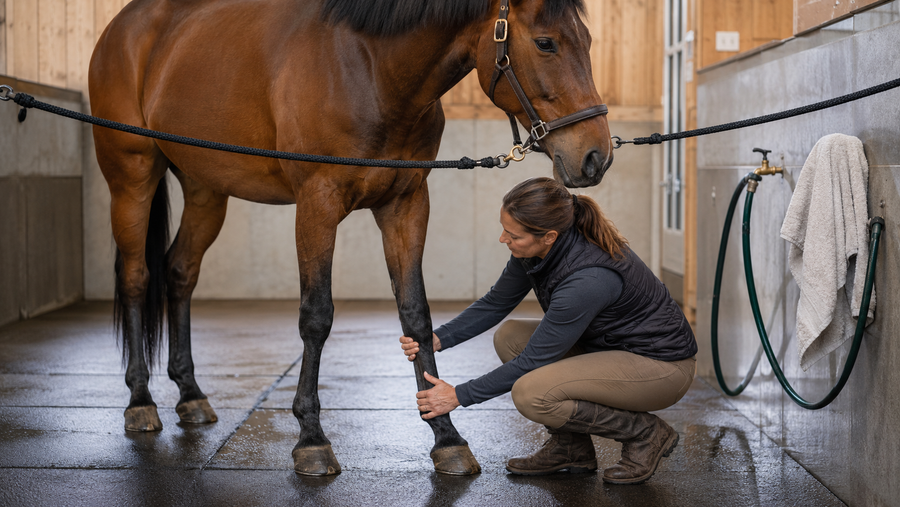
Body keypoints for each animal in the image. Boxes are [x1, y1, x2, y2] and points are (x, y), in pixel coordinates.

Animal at [88, 0, 613, 475]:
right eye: (545, 43)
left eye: (589, 42)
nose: (595, 157)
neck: (371, 69)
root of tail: (123, 27)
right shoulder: (317, 204)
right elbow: (316, 316)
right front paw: (311, 440)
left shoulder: (406, 205)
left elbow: (416, 315)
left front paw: (446, 437)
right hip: (132, 178)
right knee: (136, 277)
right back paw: (140, 400)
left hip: (205, 188)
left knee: (180, 272)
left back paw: (191, 395)